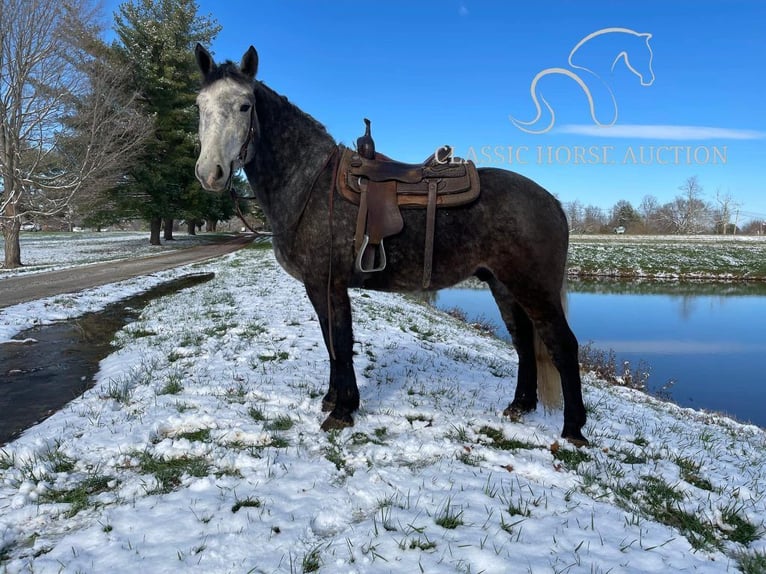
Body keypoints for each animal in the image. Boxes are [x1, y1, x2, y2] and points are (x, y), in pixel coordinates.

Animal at [194, 46, 588, 450]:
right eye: (199, 105)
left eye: (245, 105)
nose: (210, 173)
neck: (309, 183)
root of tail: (553, 202)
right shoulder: (317, 287)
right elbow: (329, 342)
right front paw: (332, 399)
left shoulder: (331, 284)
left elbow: (341, 342)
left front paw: (343, 410)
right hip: (503, 285)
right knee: (523, 341)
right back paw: (520, 405)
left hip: (534, 288)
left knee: (563, 346)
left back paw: (573, 430)